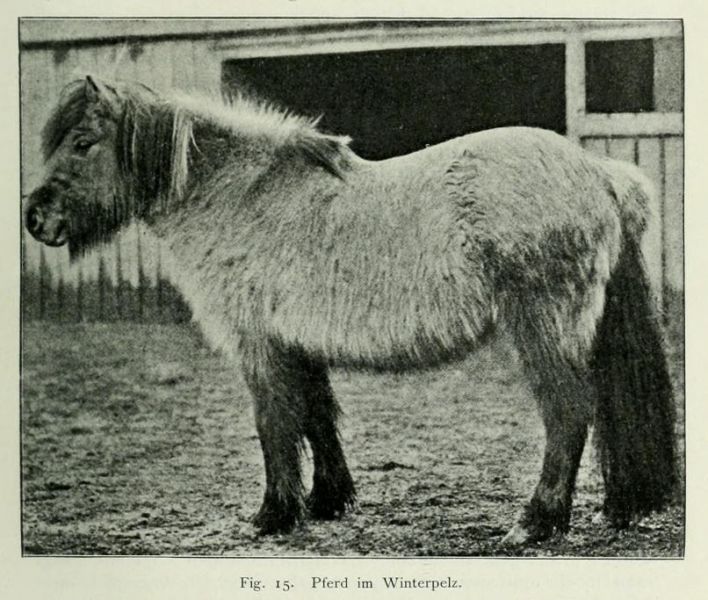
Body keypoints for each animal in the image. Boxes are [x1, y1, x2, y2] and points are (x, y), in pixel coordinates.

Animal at [24, 75, 676, 546]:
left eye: (82, 144)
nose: (35, 218)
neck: (242, 196)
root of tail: (600, 173)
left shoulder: (260, 345)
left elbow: (274, 424)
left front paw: (272, 515)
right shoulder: (296, 343)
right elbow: (316, 416)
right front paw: (326, 501)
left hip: (543, 325)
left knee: (568, 412)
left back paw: (535, 522)